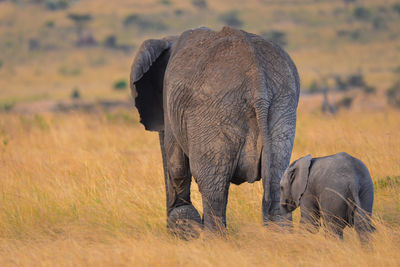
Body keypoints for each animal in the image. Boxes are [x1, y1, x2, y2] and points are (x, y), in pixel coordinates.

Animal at [131, 27, 300, 236]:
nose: (169, 229)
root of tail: (257, 79)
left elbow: (177, 166)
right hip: (283, 107)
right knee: (277, 182)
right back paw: (281, 237)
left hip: (213, 114)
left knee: (212, 187)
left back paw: (213, 239)